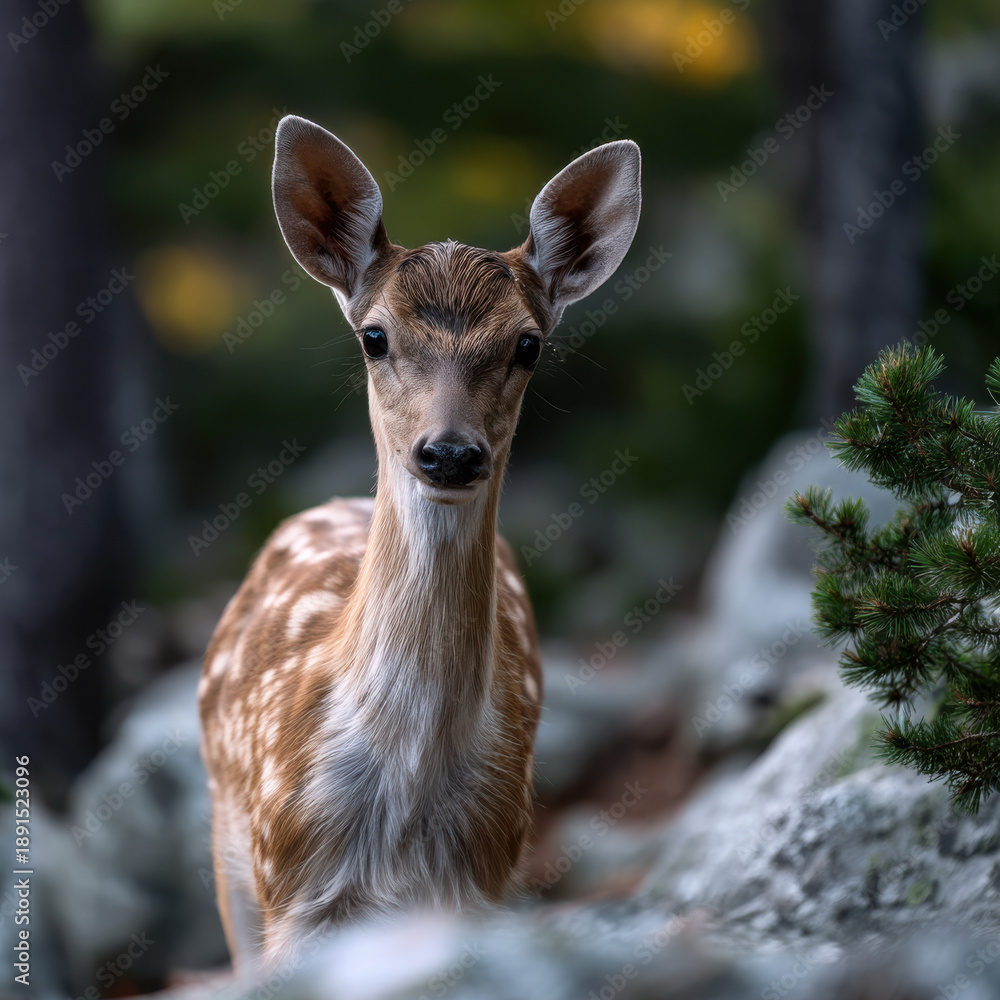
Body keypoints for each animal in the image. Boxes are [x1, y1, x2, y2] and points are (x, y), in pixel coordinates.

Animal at [198, 113, 641, 972]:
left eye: (528, 344)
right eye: (375, 336)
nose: (450, 453)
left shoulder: (486, 872)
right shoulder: (290, 880)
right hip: (231, 851)